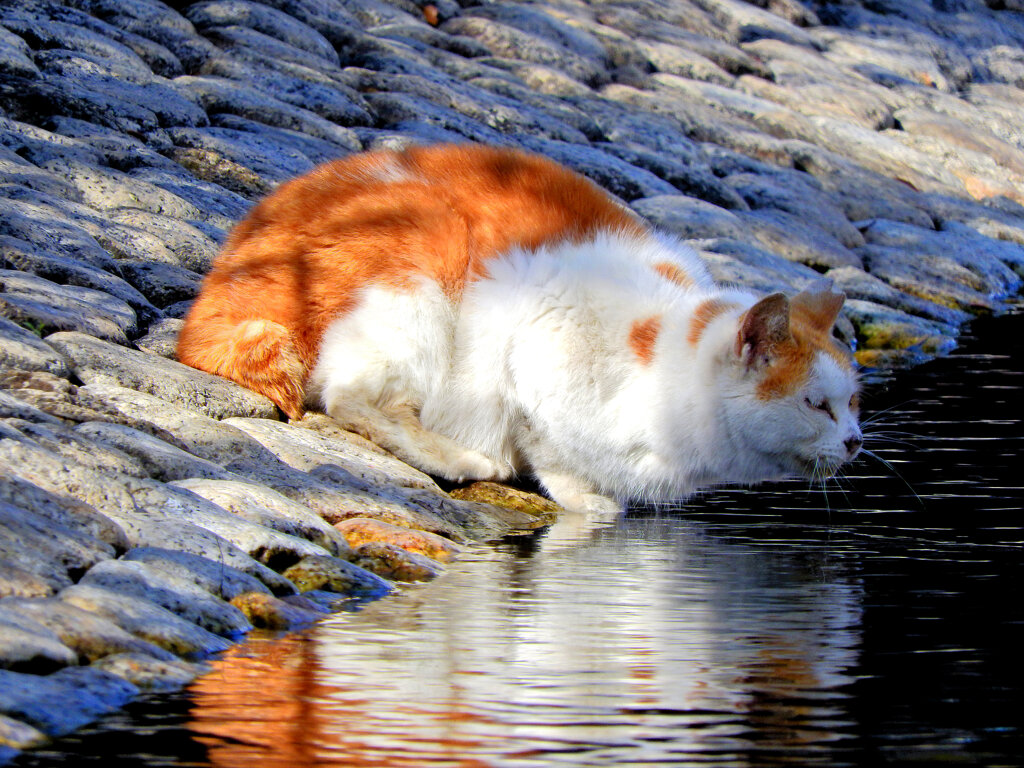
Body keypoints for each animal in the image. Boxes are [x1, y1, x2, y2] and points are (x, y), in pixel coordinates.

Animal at [178, 144, 864, 518]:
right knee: (354, 398)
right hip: (422, 265)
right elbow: (547, 444)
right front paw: (587, 502)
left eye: (854, 403)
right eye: (817, 405)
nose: (857, 442)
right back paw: (461, 458)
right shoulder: (535, 340)